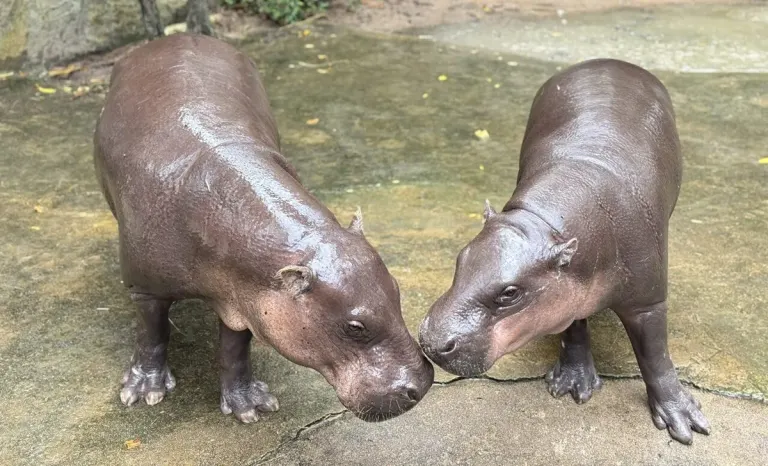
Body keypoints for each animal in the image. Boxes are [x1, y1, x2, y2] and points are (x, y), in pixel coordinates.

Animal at [93, 33, 433, 423]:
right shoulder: (145, 288)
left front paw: (250, 405)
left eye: (397, 290)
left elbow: (235, 349)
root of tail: (173, 37)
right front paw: (143, 392)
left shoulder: (248, 301)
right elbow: (152, 332)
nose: (422, 384)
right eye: (355, 327)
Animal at [419, 59, 710, 444]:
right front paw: (573, 383)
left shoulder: (647, 300)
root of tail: (610, 61)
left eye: (510, 293)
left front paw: (685, 421)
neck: (542, 222)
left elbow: (655, 355)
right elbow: (573, 326)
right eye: (460, 259)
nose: (431, 341)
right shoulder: (566, 292)